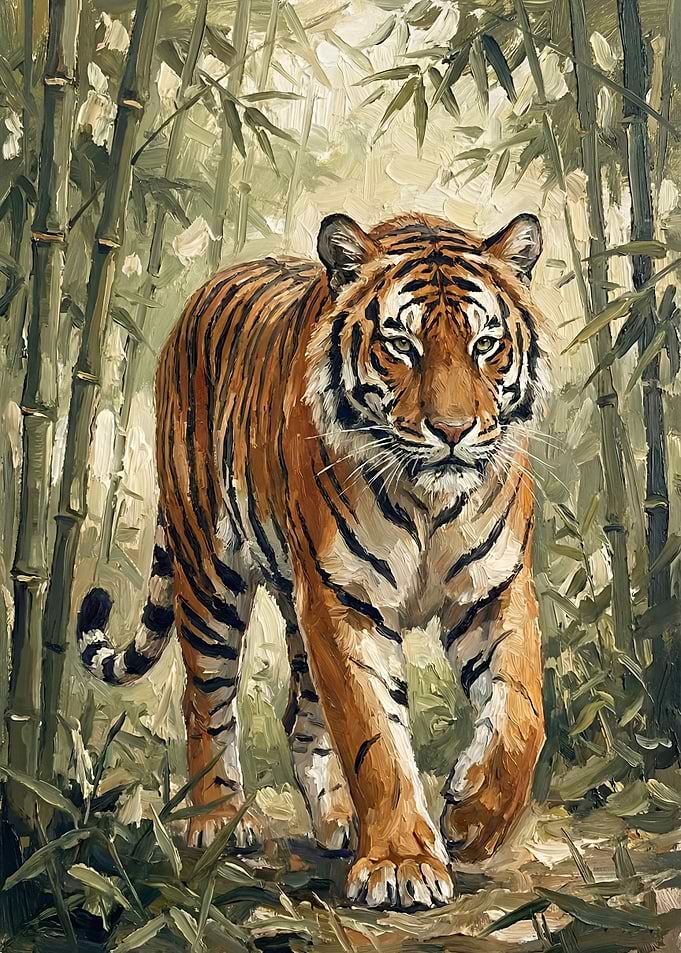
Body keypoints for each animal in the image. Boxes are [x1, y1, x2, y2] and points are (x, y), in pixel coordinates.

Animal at [76, 210, 547, 909]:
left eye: (486, 344)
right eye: (401, 346)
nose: (453, 430)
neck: (428, 499)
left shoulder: (496, 589)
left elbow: (521, 716)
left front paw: (471, 819)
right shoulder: (343, 600)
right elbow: (375, 737)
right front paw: (402, 864)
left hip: (292, 604)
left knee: (300, 713)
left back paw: (338, 822)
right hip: (210, 575)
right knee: (205, 699)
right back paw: (217, 819)